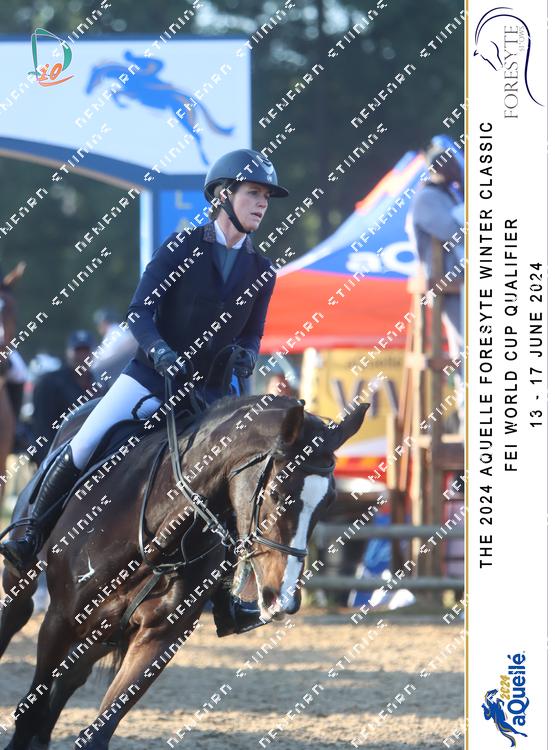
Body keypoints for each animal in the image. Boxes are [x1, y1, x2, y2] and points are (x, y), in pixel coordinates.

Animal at [0, 393, 368, 749]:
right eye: (277, 494)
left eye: (329, 501)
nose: (284, 599)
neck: (158, 537)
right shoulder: (60, 620)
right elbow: (29, 712)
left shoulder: (159, 637)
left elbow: (96, 732)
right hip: (27, 583)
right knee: (18, 613)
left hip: (103, 632)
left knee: (69, 680)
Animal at [85, 52, 234, 165]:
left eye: (92, 77)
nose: (86, 91)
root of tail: (191, 98)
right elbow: (114, 92)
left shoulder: (134, 94)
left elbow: (115, 92)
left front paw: (122, 104)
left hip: (183, 117)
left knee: (197, 136)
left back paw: (205, 161)